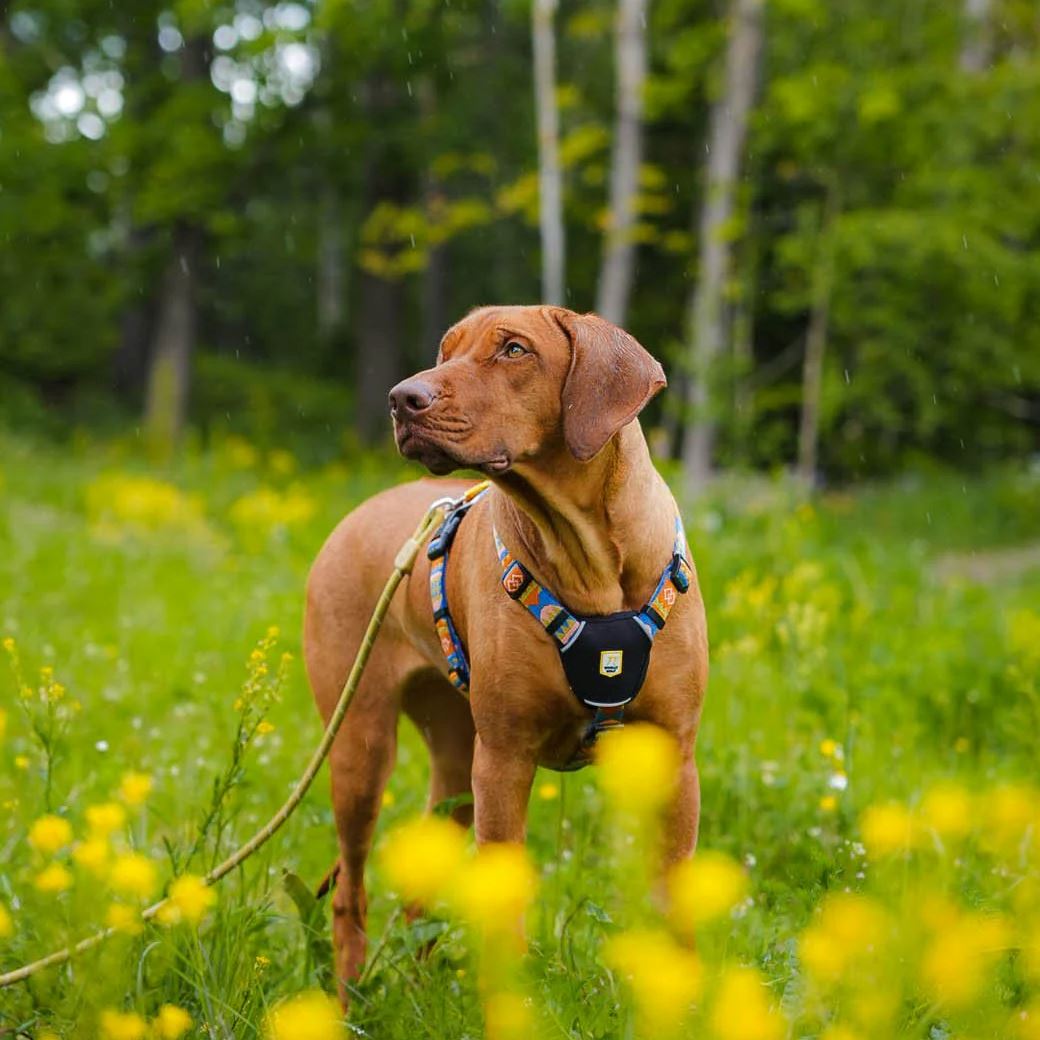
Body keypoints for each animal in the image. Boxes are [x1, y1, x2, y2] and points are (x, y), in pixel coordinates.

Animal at [301, 303, 707, 1002]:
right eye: (446, 350)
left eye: (514, 350)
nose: (402, 399)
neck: (590, 561)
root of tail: (354, 516)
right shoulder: (504, 762)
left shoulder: (673, 761)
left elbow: (673, 905)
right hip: (361, 747)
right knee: (351, 890)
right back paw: (349, 997)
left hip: (452, 761)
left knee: (417, 900)